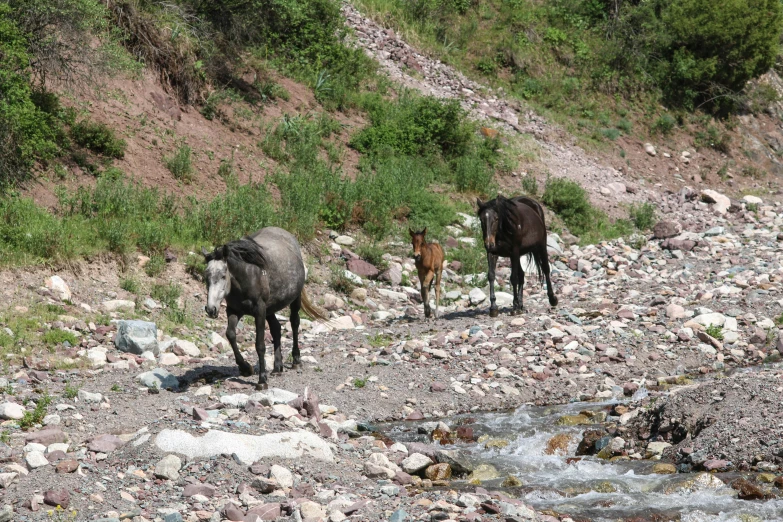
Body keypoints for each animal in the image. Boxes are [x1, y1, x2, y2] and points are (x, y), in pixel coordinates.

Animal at [202, 225, 328, 388]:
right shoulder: (234, 310)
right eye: (206, 276)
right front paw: (245, 368)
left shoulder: (259, 311)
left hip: (294, 299)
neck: (247, 277)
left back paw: (296, 360)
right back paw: (277, 367)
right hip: (270, 309)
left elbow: (260, 344)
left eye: (223, 275)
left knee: (294, 323)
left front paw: (262, 380)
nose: (211, 309)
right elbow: (230, 334)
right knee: (276, 329)